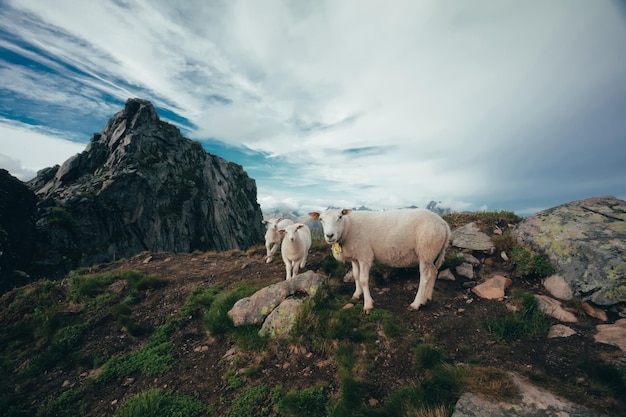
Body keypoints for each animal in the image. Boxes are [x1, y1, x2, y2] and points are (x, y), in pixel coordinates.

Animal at [308, 208, 448, 312]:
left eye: (340, 217)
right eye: (321, 219)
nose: (329, 235)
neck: (348, 228)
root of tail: (443, 223)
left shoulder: (365, 255)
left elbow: (364, 280)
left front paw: (368, 305)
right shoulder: (355, 257)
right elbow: (356, 275)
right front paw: (356, 294)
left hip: (426, 250)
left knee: (424, 278)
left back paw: (416, 303)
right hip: (431, 254)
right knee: (434, 272)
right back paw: (427, 298)